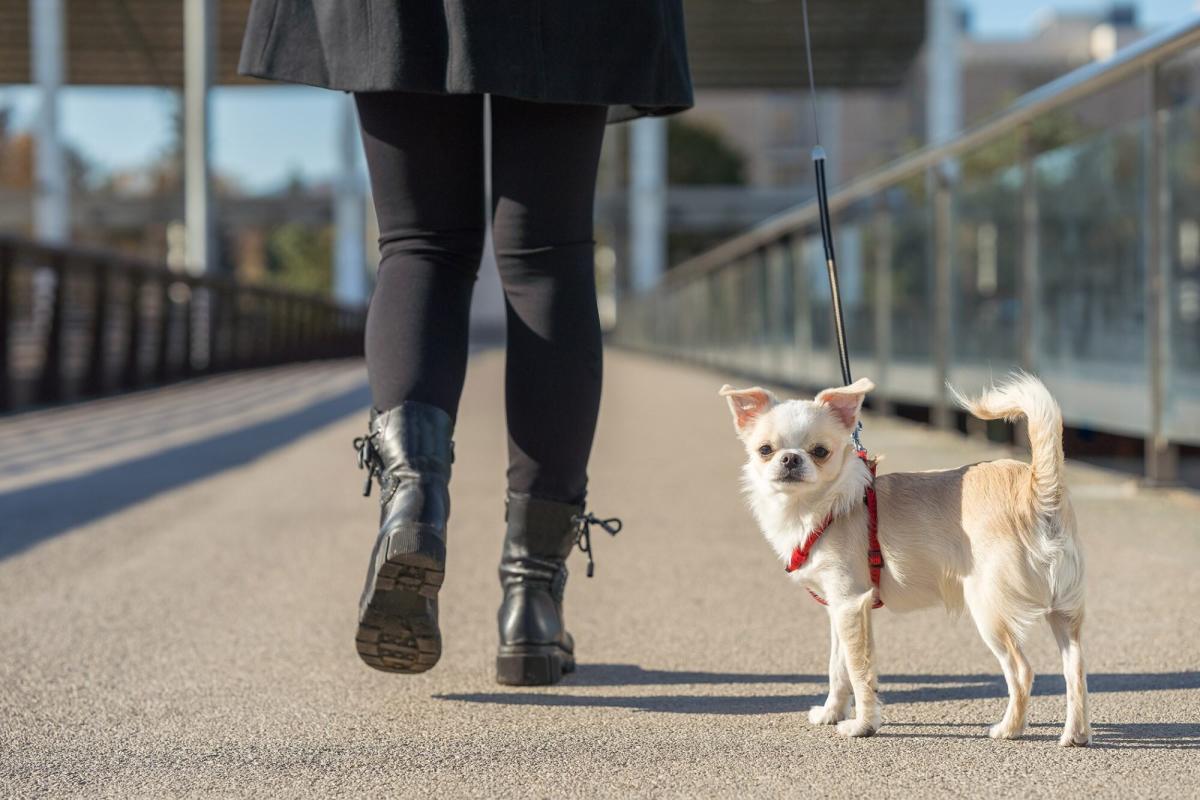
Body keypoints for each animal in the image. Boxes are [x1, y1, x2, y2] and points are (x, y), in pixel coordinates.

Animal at [715, 376, 1094, 743]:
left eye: (820, 452)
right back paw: (1075, 734)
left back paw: (1010, 729)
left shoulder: (850, 604)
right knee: (1075, 669)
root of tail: (1037, 490)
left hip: (989, 611)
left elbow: (859, 671)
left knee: (1022, 671)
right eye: (765, 450)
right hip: (1063, 612)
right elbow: (838, 668)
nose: (791, 459)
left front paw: (862, 726)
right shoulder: (839, 608)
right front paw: (831, 713)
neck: (817, 508)